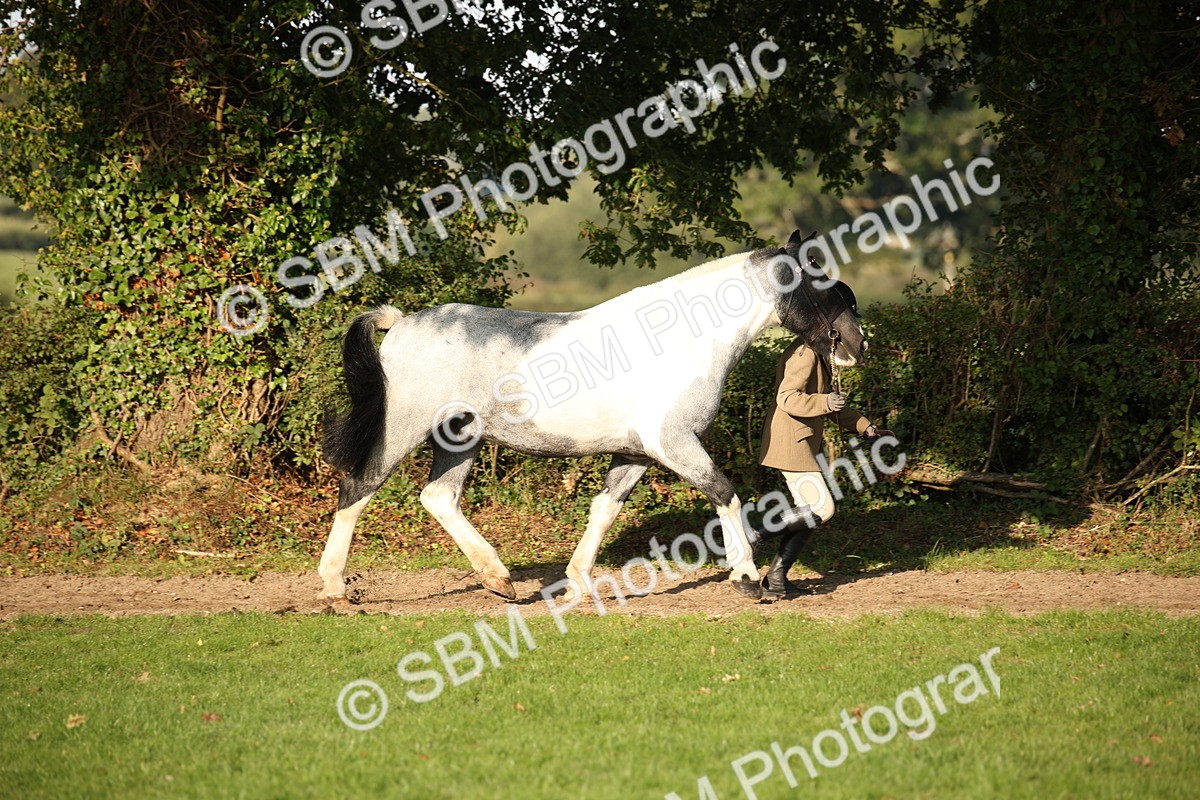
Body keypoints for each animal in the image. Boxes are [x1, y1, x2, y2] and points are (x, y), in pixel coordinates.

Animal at [316, 229, 866, 605]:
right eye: (818, 280)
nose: (857, 344)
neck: (680, 340)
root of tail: (401, 323)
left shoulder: (637, 453)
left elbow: (604, 510)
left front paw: (577, 583)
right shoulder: (674, 443)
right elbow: (724, 493)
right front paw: (746, 575)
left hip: (461, 438)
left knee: (438, 498)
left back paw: (500, 580)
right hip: (402, 429)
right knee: (359, 486)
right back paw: (335, 587)